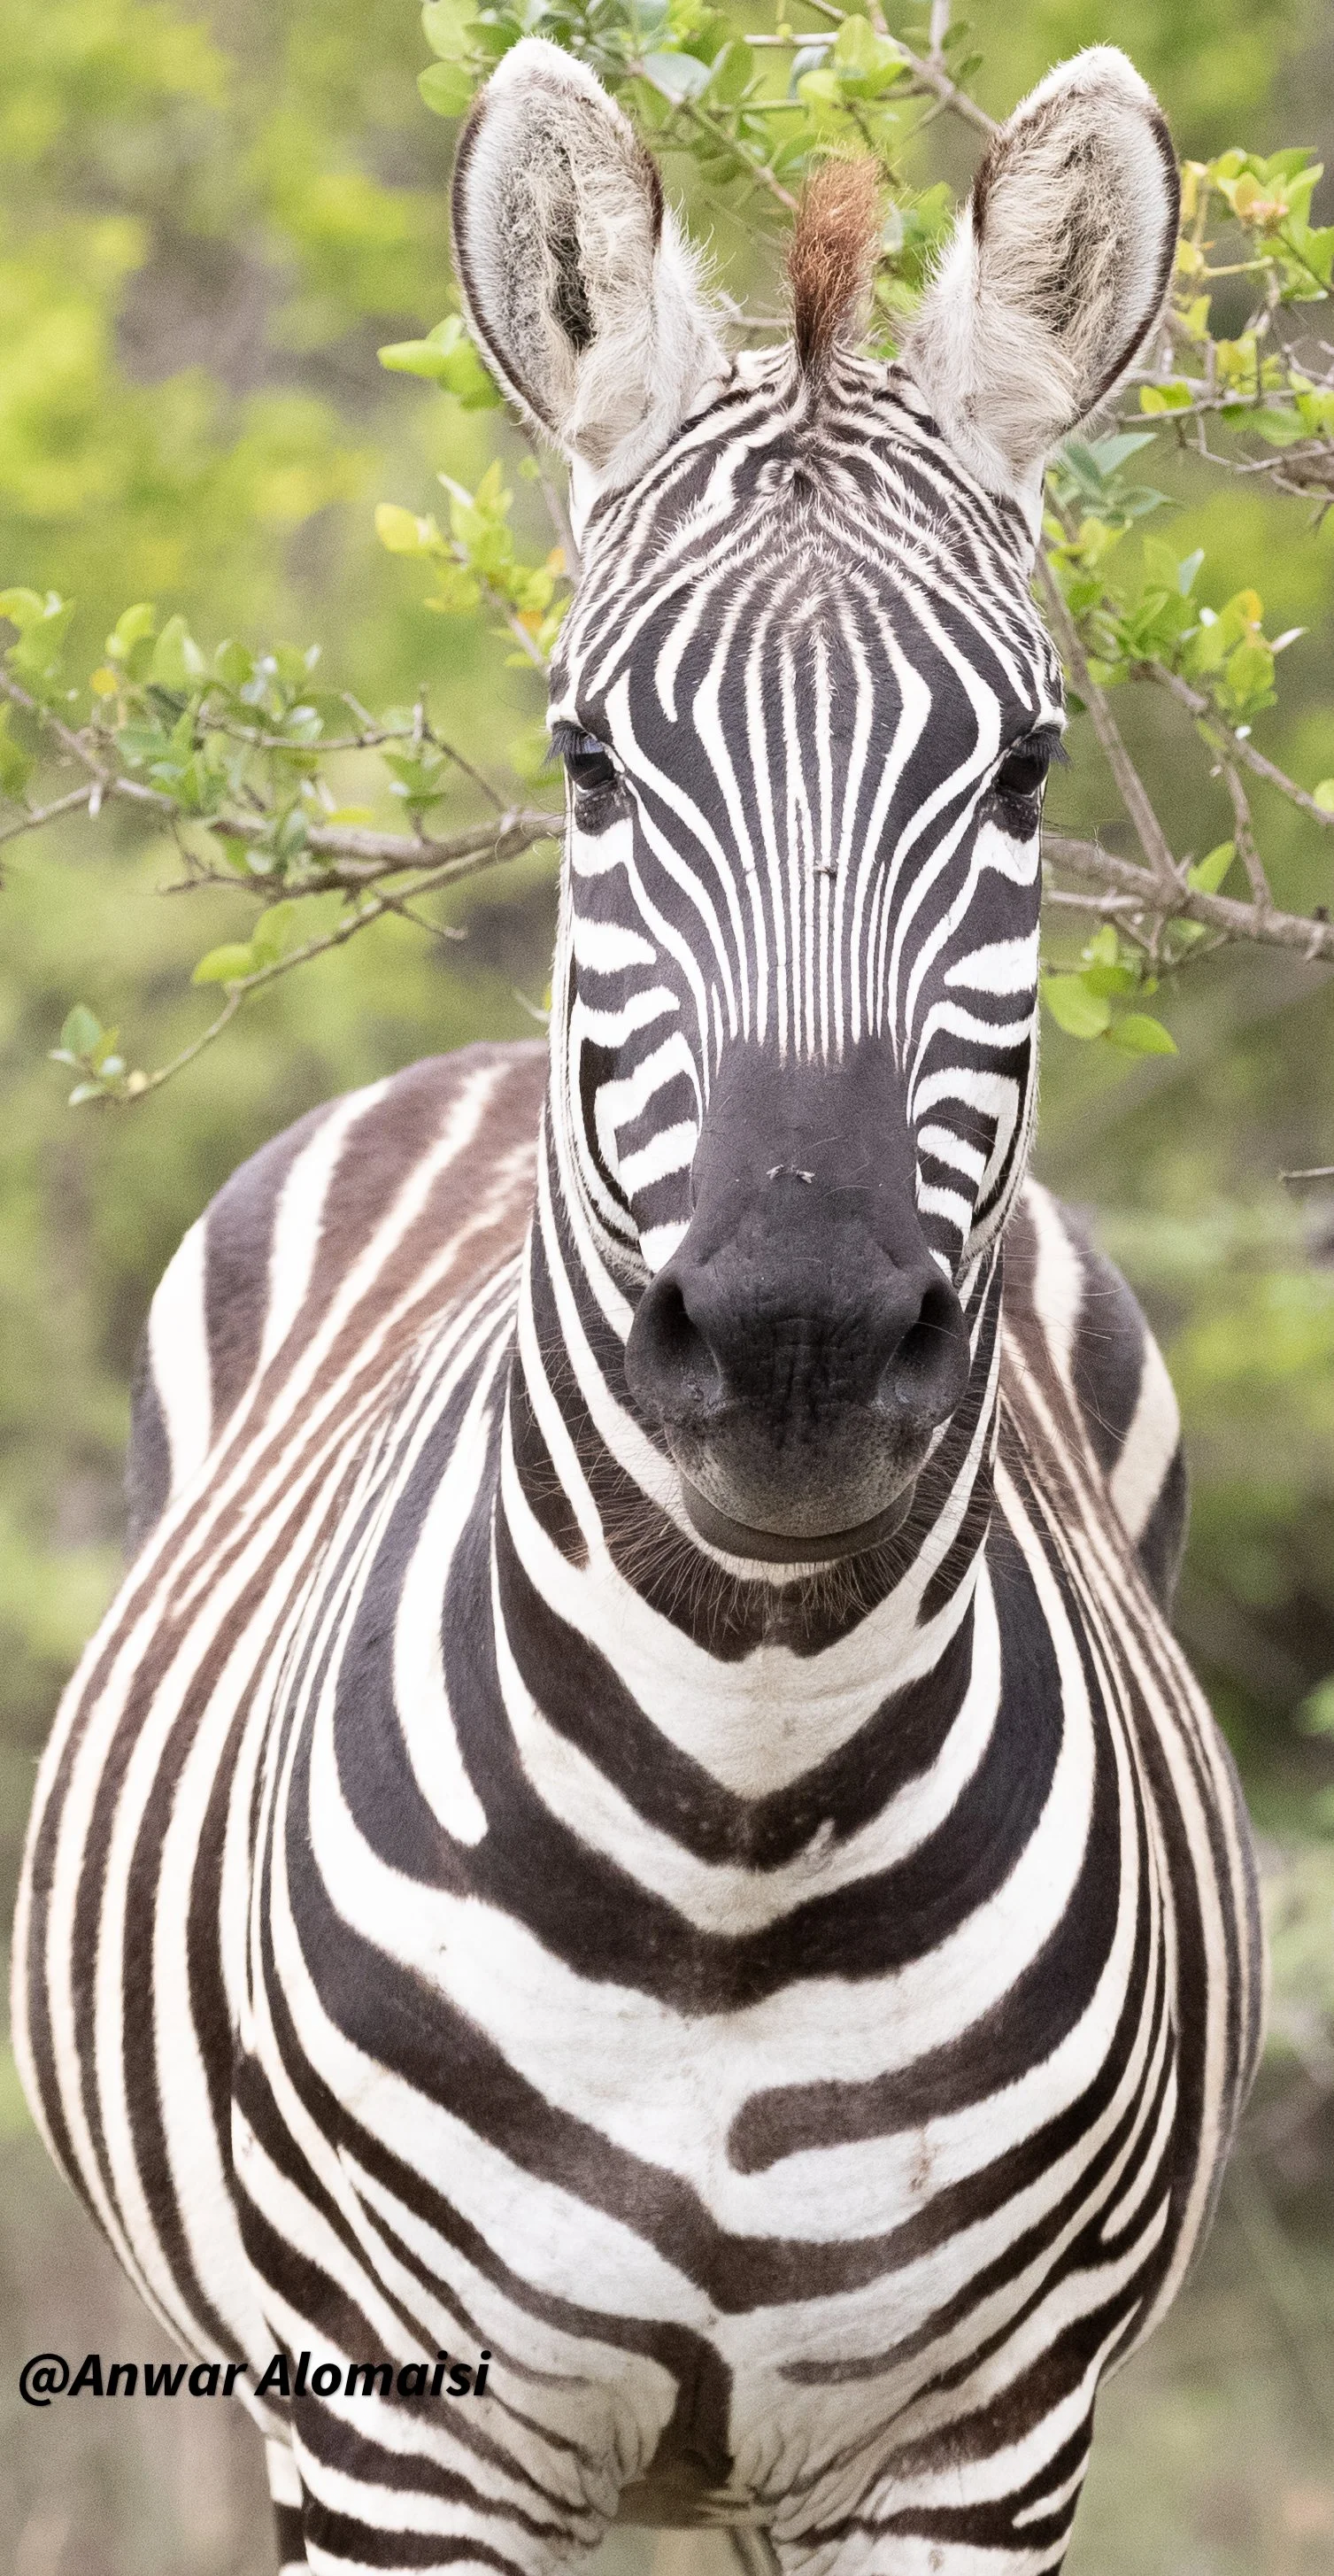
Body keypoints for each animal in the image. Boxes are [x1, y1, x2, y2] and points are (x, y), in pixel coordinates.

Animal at [13, 36, 1263, 2576]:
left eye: (1025, 764)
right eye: (590, 756)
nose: (793, 1341)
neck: (737, 1818)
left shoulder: (976, 2455)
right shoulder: (401, 2442)